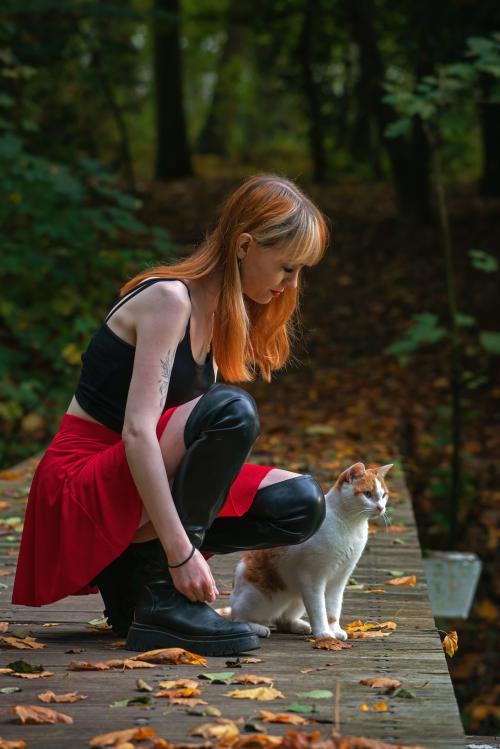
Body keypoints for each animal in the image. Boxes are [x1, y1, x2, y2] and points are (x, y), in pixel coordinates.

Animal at [228, 458, 394, 640]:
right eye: (368, 494)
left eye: (383, 495)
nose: (380, 508)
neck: (351, 525)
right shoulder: (313, 579)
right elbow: (319, 609)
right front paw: (324, 634)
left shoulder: (339, 579)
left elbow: (333, 609)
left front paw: (334, 630)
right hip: (260, 598)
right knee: (239, 618)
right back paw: (256, 628)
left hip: (297, 597)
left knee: (282, 620)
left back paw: (299, 626)